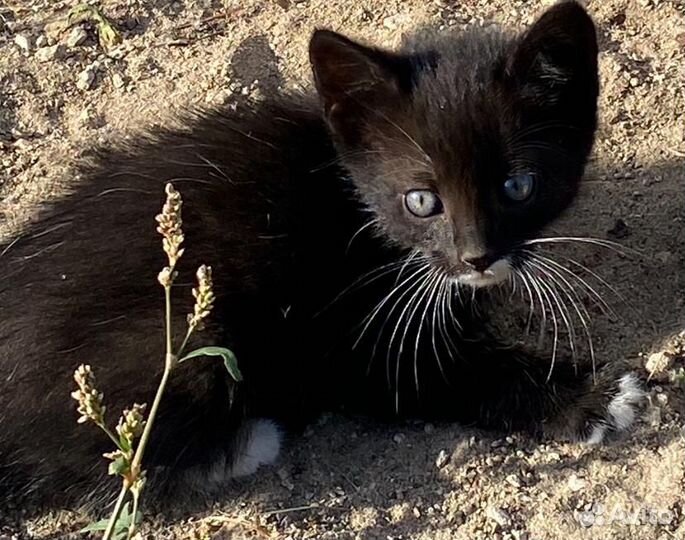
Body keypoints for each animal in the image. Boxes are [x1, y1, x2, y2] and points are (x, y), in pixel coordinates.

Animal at [0, 2, 640, 506]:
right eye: (421, 200)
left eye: (518, 187)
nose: (477, 258)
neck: (351, 198)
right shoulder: (361, 328)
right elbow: (447, 373)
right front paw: (592, 397)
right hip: (181, 335)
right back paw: (252, 440)